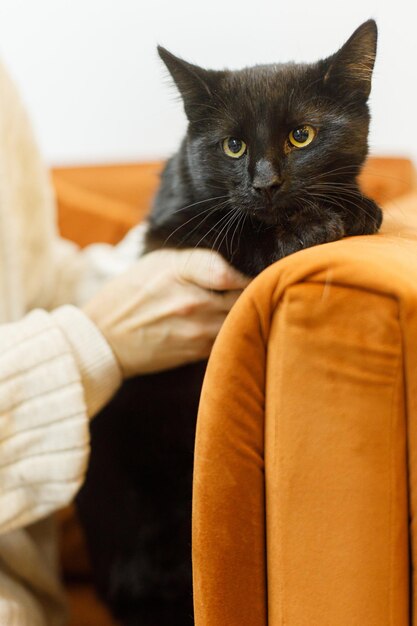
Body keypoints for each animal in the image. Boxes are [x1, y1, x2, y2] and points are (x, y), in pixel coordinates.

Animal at [76, 19, 382, 624]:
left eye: (301, 137)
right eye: (232, 146)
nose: (264, 183)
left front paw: (357, 209)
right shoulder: (167, 236)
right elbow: (231, 230)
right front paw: (304, 232)